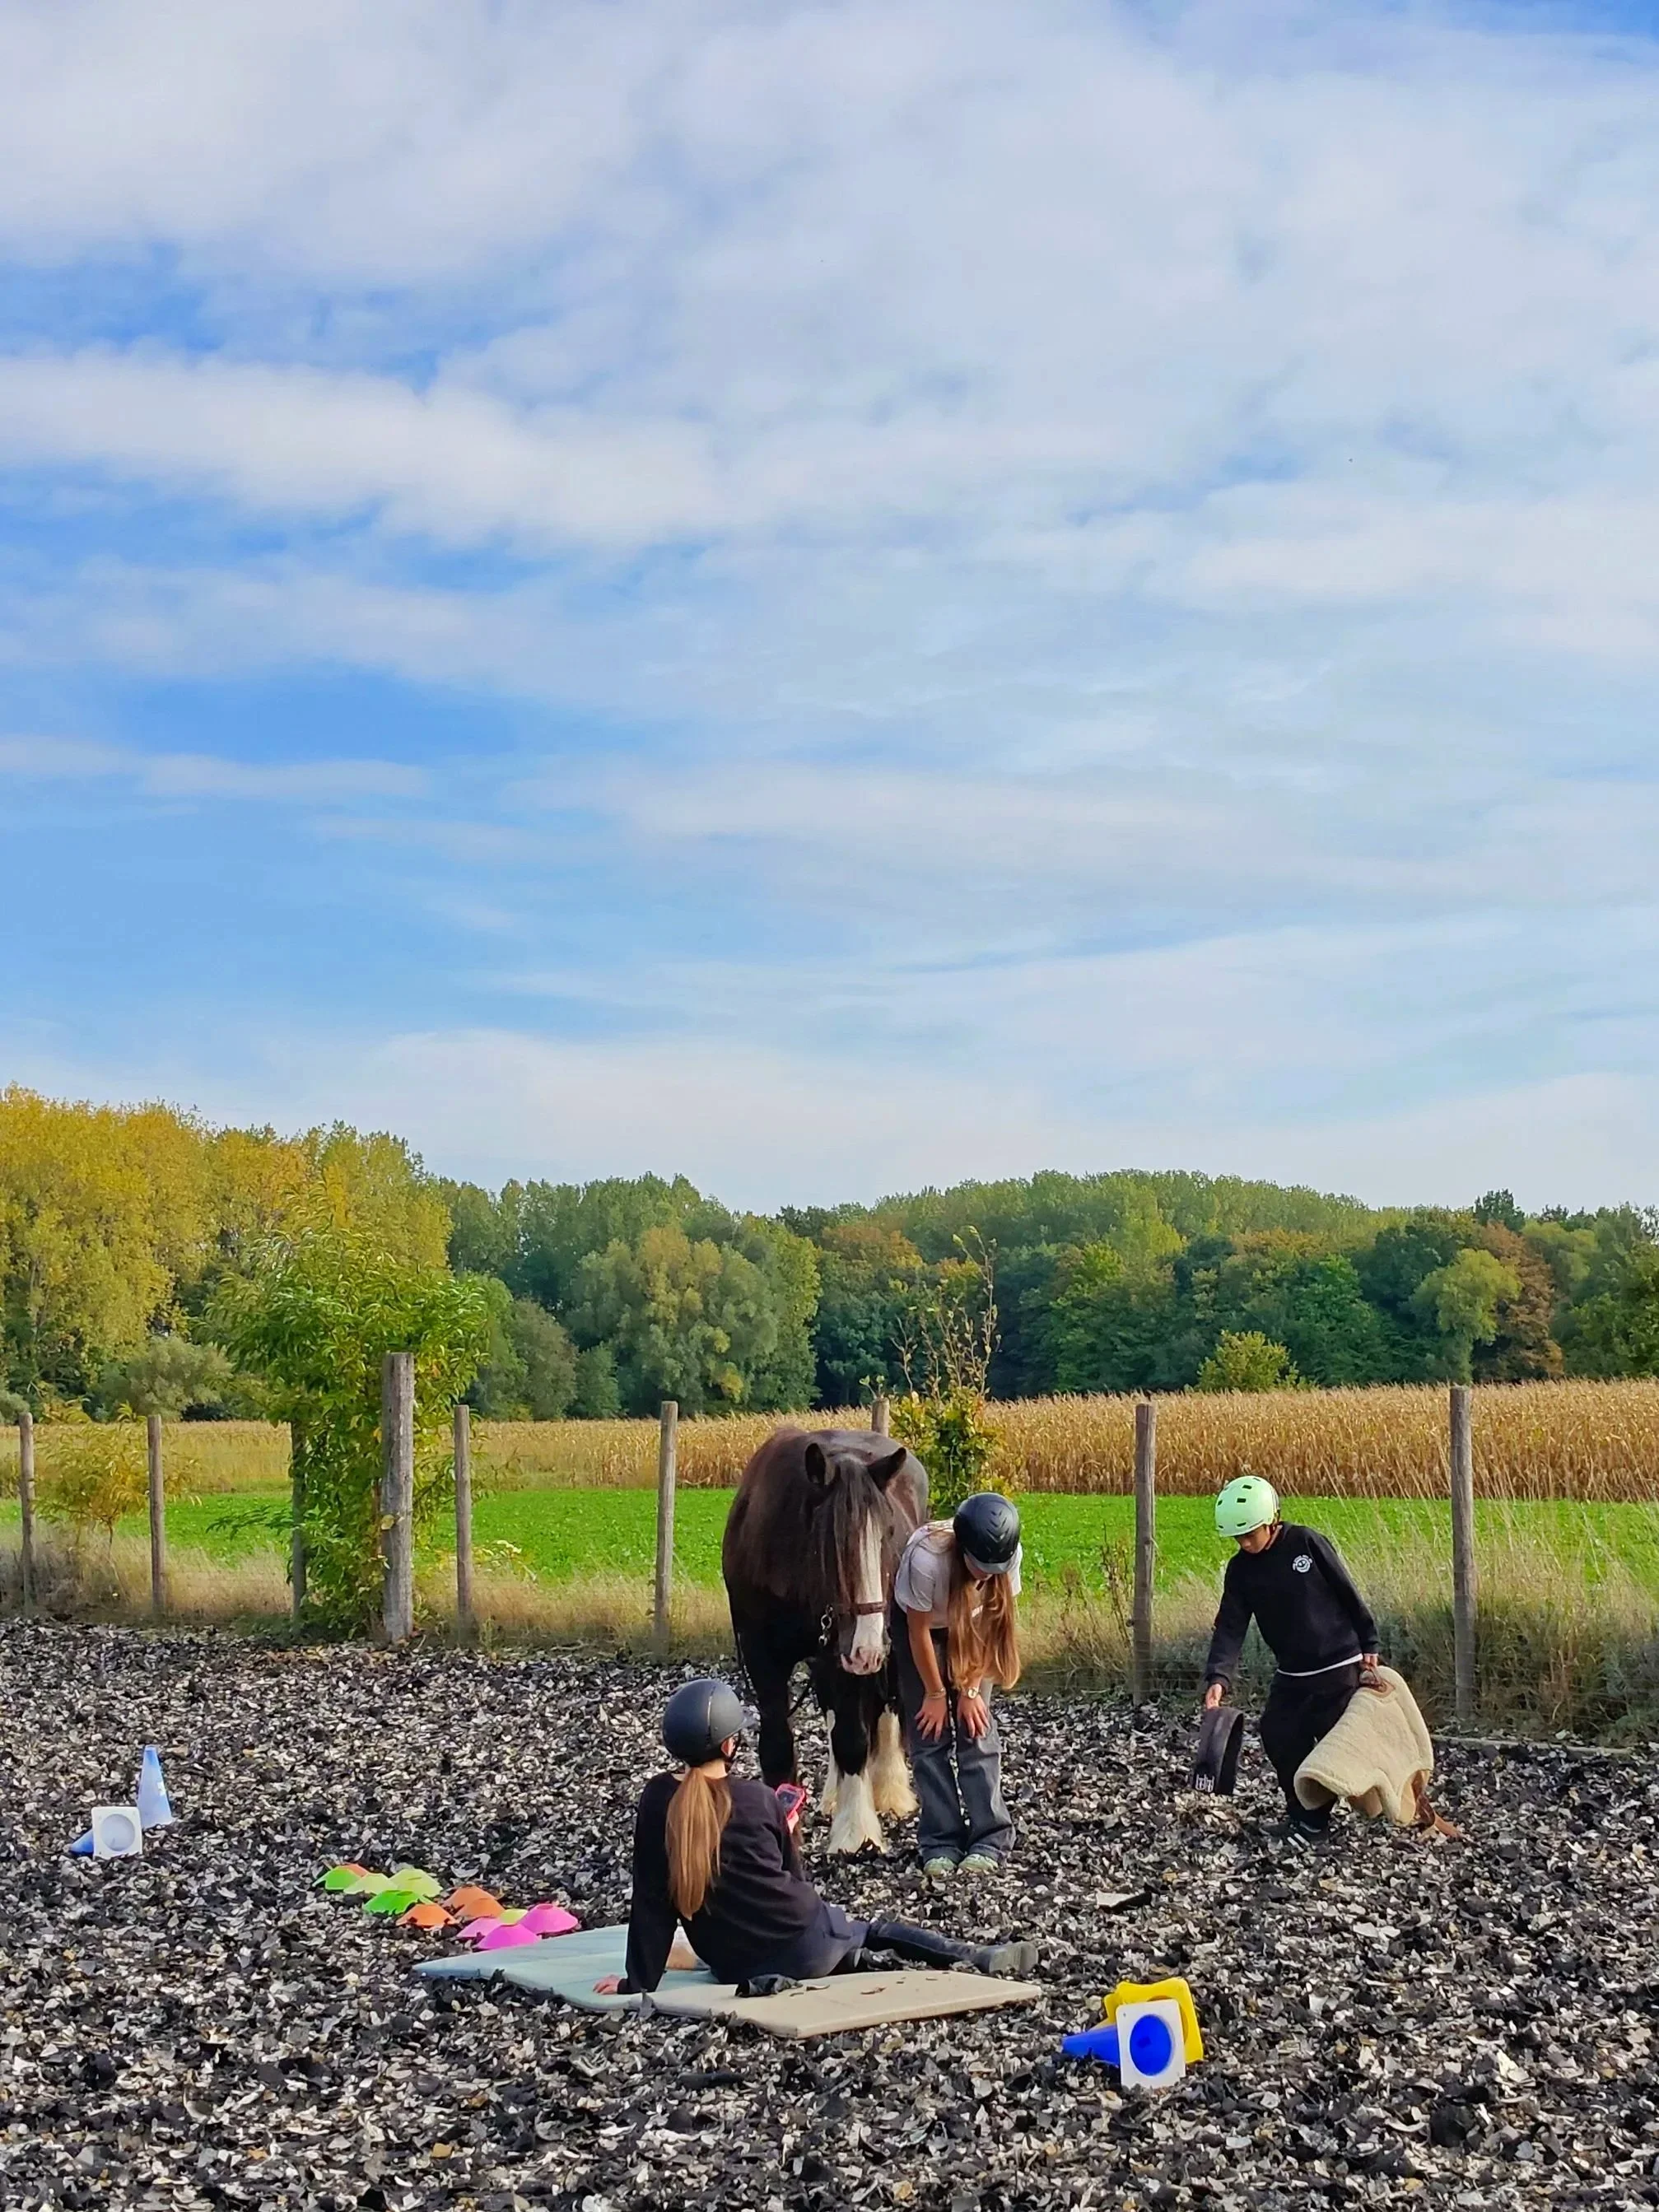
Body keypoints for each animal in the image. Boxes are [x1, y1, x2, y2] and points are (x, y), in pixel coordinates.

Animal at [722, 1426, 928, 1854]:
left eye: (887, 1534)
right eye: (831, 1542)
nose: (869, 1649)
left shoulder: (846, 1656)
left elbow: (853, 1737)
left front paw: (856, 1834)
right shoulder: (762, 1655)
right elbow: (778, 1743)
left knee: (886, 1708)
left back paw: (888, 1791)